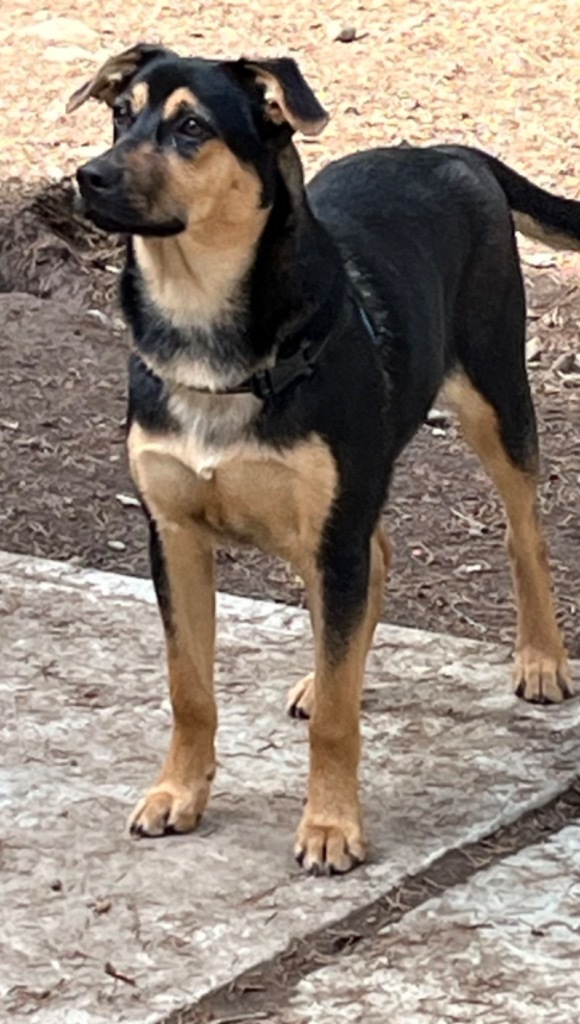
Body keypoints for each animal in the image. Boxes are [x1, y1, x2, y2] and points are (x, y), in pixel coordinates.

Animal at [67, 48, 577, 876]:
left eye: (191, 127)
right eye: (121, 115)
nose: (90, 176)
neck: (205, 332)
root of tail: (449, 152)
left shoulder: (331, 533)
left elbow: (337, 722)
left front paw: (332, 825)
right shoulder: (174, 537)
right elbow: (189, 688)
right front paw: (180, 793)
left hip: (495, 395)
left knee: (522, 533)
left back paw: (540, 660)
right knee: (379, 557)